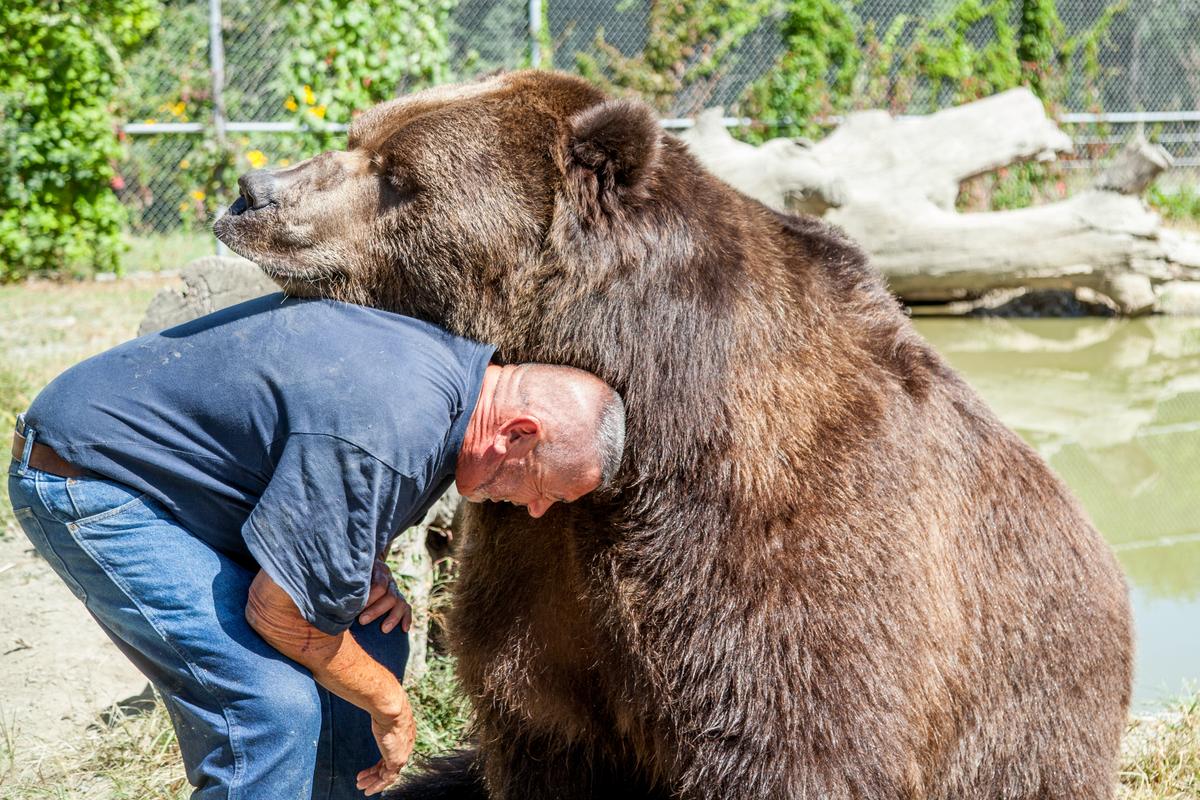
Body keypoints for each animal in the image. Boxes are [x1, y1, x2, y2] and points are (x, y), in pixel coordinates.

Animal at [213, 71, 1132, 796]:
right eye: (359, 135)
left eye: (400, 175)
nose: (254, 193)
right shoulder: (540, 580)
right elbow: (539, 726)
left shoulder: (789, 551)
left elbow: (797, 739)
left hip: (1031, 727)